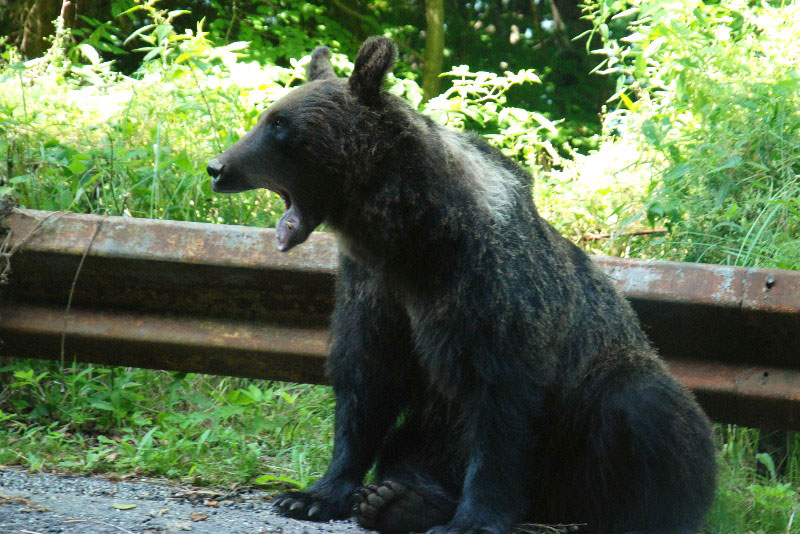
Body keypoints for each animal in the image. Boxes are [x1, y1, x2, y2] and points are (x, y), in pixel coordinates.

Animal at [206, 37, 717, 534]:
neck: (413, 233)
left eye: (279, 124)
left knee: (642, 407)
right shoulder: (373, 288)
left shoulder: (487, 290)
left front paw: (470, 520)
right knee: (413, 448)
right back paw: (400, 500)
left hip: (593, 406)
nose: (218, 167)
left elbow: (499, 402)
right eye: (268, 116)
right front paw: (312, 495)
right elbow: (366, 380)